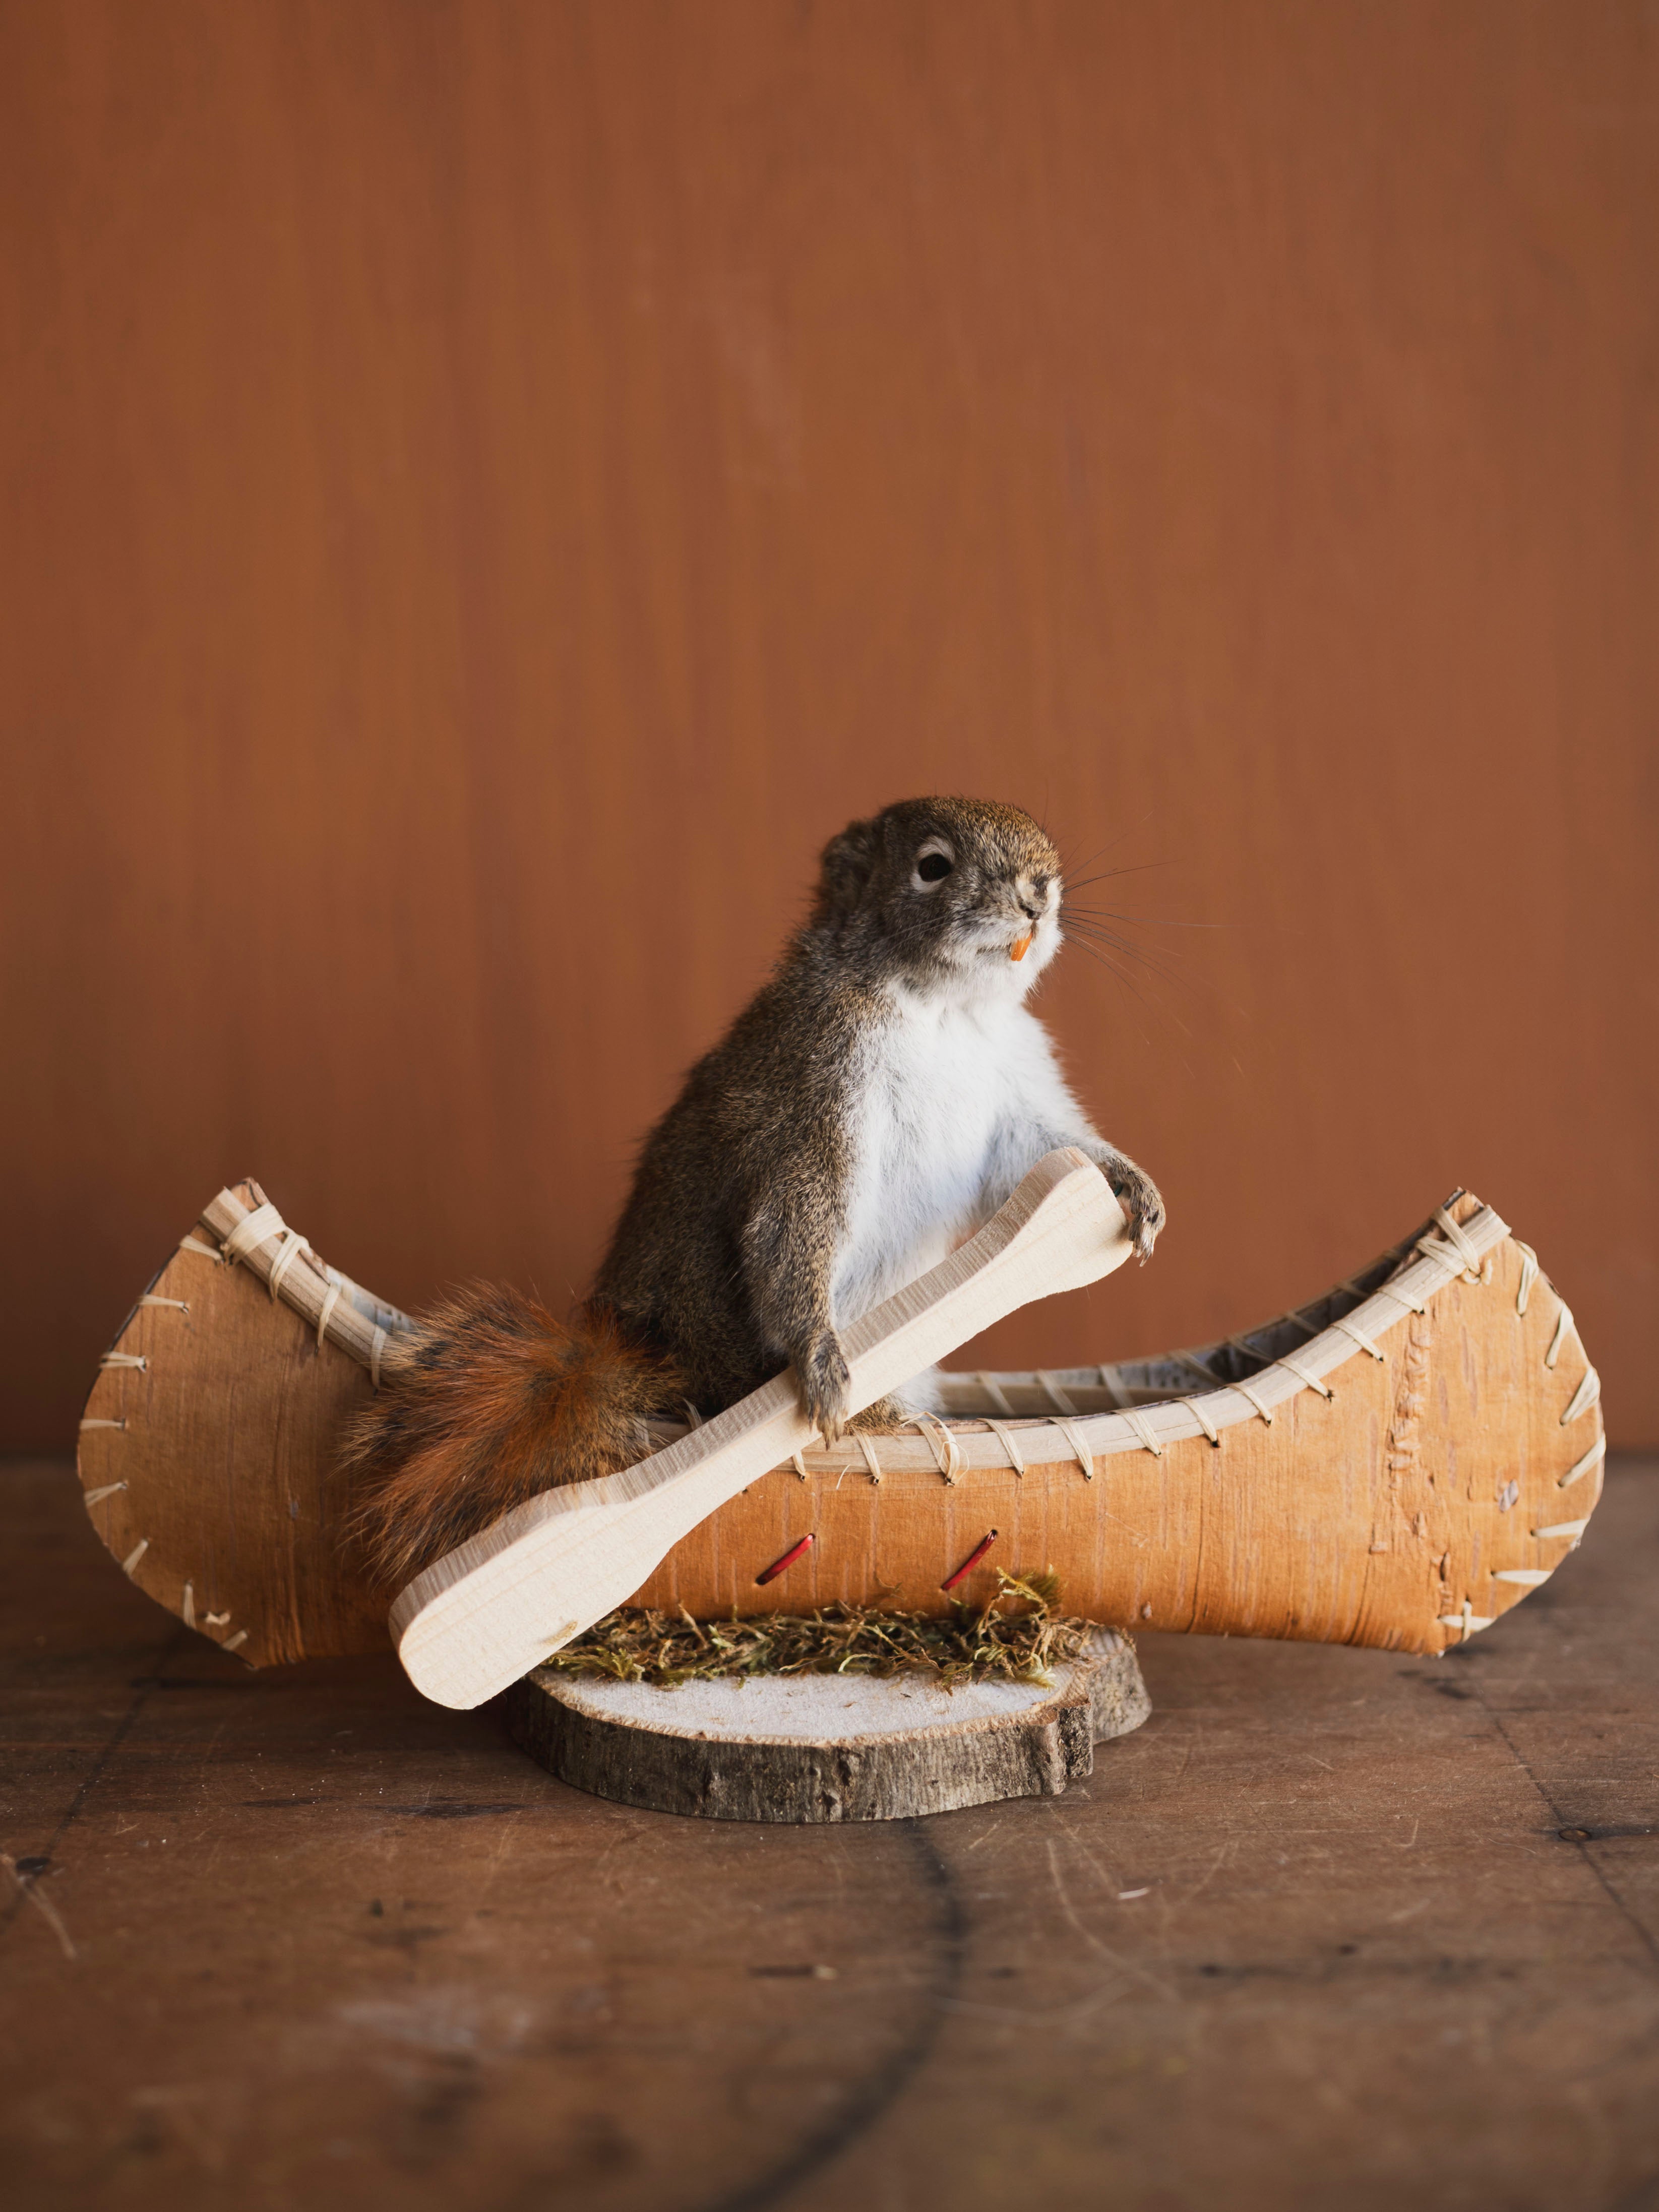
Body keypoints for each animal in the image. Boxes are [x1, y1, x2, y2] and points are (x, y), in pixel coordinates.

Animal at [347, 796, 1165, 1586]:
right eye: (932, 867)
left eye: (1045, 852)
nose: (1037, 896)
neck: (945, 1012)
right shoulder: (817, 1086)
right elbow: (792, 1220)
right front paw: (819, 1357)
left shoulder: (1017, 1090)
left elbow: (1044, 1149)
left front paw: (1131, 1185)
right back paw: (884, 1420)